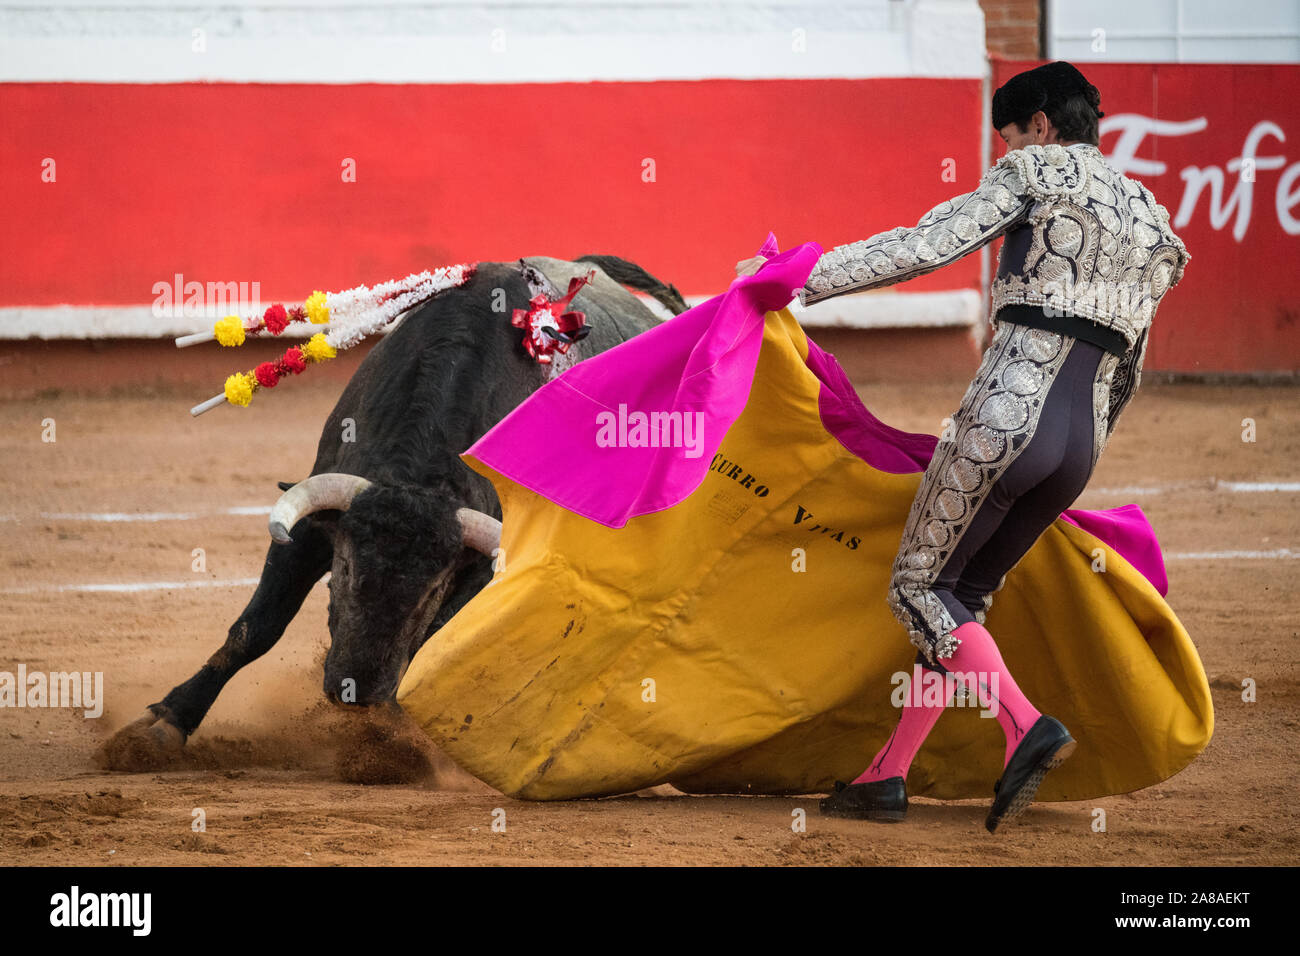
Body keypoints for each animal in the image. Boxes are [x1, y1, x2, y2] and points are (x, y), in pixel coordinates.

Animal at [106, 256, 686, 770]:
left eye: (431, 590)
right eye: (344, 569)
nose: (356, 692)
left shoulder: (478, 568)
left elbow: (430, 644)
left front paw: (388, 746)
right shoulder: (310, 530)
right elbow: (257, 627)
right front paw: (163, 723)